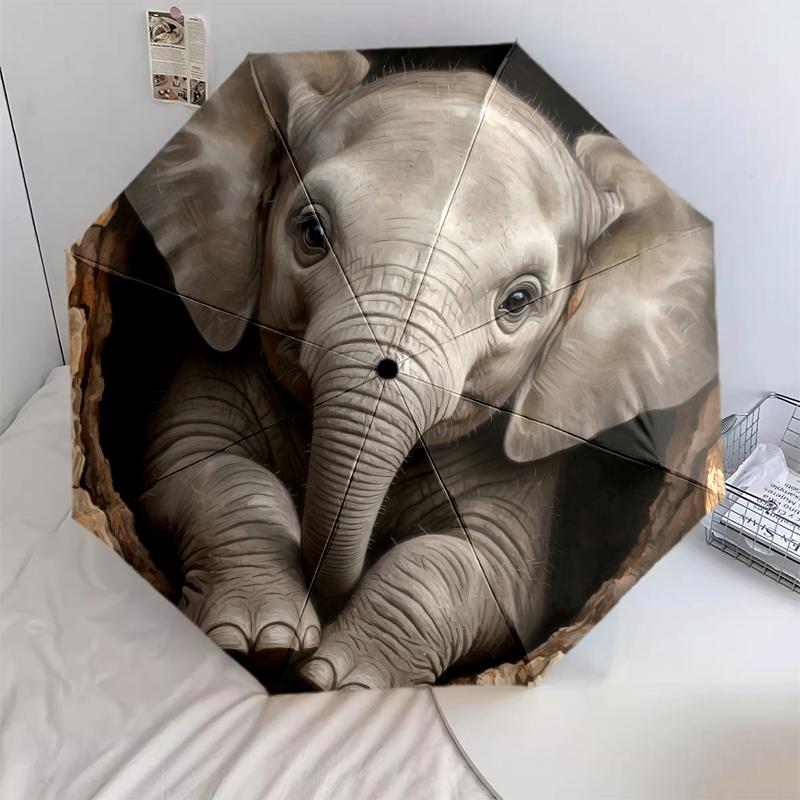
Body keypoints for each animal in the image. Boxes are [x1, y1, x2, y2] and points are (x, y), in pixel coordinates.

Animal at [125, 49, 717, 689]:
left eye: (519, 301)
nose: (302, 662)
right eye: (312, 232)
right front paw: (264, 644)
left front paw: (338, 682)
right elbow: (199, 470)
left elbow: (486, 569)